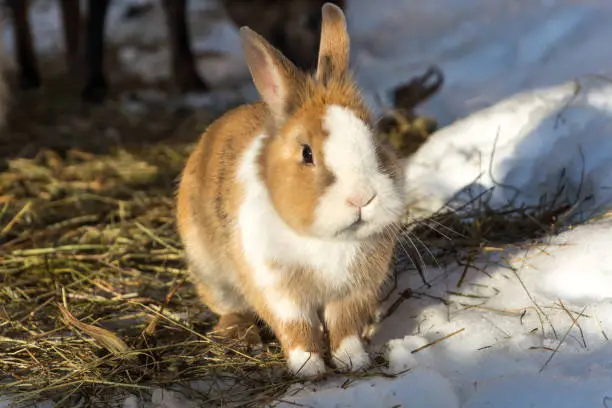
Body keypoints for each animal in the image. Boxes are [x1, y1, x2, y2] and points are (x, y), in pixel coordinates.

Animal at [177, 3, 406, 378]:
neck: (326, 241)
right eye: (306, 154)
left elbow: (344, 327)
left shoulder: (354, 292)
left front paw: (353, 361)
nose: (362, 198)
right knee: (229, 306)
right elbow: (297, 329)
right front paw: (309, 369)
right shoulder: (277, 290)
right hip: (211, 272)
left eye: (375, 141)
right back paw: (238, 334)